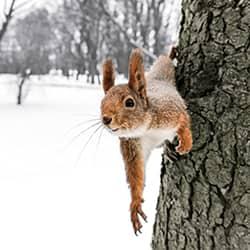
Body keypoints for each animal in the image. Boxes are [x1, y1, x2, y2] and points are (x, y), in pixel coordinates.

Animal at [99, 48, 191, 234]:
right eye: (102, 102)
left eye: (129, 102)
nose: (106, 119)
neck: (146, 128)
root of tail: (154, 78)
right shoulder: (132, 144)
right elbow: (136, 172)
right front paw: (135, 203)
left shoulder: (170, 112)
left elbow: (184, 119)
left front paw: (186, 141)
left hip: (165, 70)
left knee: (165, 60)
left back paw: (171, 53)